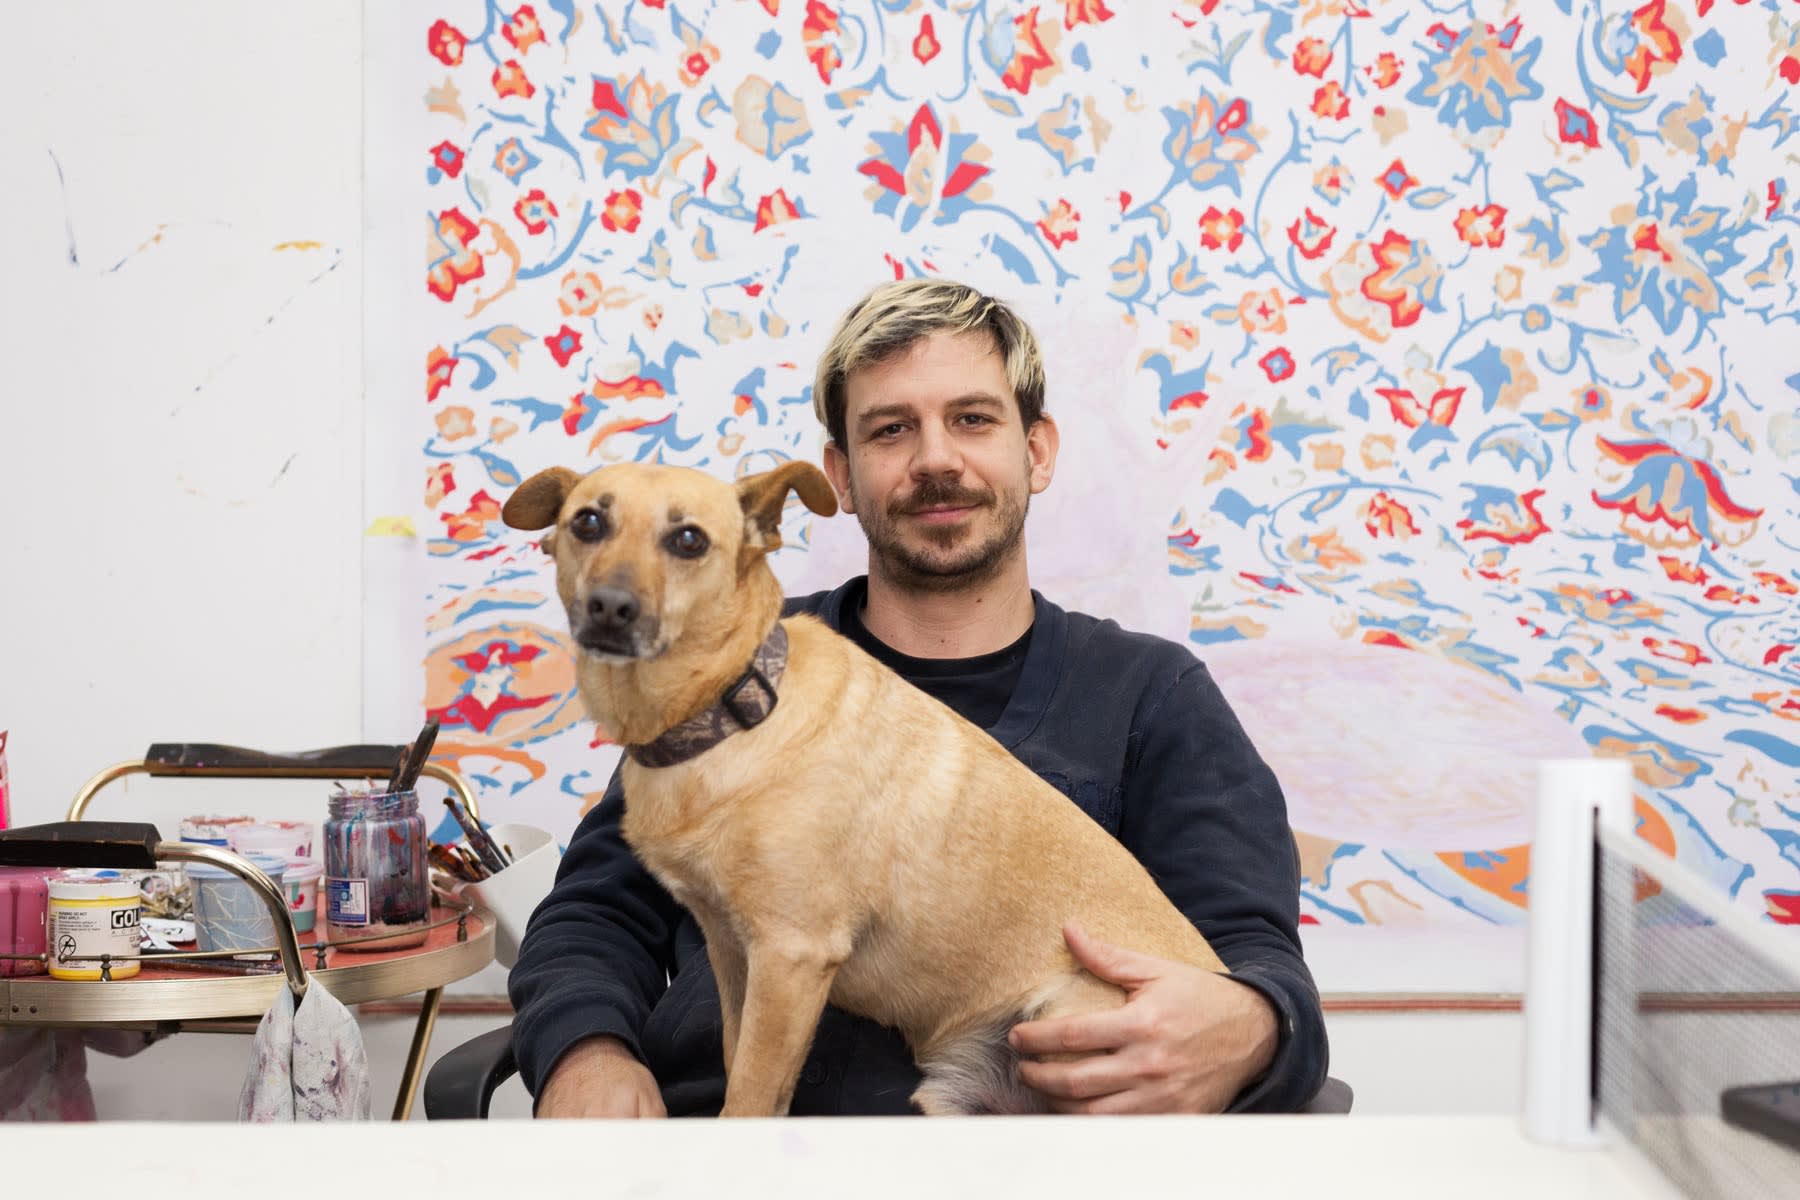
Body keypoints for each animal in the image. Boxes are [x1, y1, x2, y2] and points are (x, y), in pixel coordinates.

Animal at [511, 460, 1238, 1115]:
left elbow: (748, 1097)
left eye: (689, 539)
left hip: (1066, 1023)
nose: (609, 608)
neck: (734, 710)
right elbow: (738, 1062)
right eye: (587, 523)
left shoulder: (791, 958)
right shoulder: (734, 954)